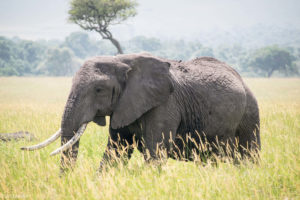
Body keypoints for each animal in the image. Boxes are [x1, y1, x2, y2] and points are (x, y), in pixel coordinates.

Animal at [21, 52, 260, 171]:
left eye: (98, 89)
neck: (122, 61)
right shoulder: (124, 105)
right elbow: (116, 151)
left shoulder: (165, 104)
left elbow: (155, 152)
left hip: (250, 112)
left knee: (248, 153)